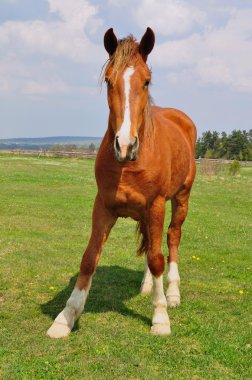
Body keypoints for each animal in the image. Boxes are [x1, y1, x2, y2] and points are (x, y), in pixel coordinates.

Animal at [47, 27, 197, 338]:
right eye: (108, 80)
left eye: (147, 80)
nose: (125, 145)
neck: (129, 165)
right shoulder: (103, 206)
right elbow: (89, 257)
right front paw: (65, 318)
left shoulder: (155, 205)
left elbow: (157, 257)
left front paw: (160, 318)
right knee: (153, 244)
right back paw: (149, 285)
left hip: (181, 198)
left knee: (172, 238)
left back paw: (172, 294)